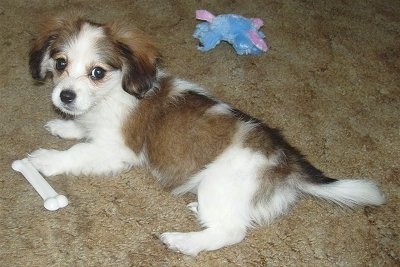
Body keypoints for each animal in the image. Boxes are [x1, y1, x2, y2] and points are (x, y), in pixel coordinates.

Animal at [27, 17, 384, 258]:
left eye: (97, 72)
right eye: (61, 63)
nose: (66, 96)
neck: (113, 94)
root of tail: (286, 162)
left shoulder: (116, 149)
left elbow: (77, 153)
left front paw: (44, 159)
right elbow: (80, 129)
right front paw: (63, 125)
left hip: (218, 182)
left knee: (232, 232)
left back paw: (183, 241)